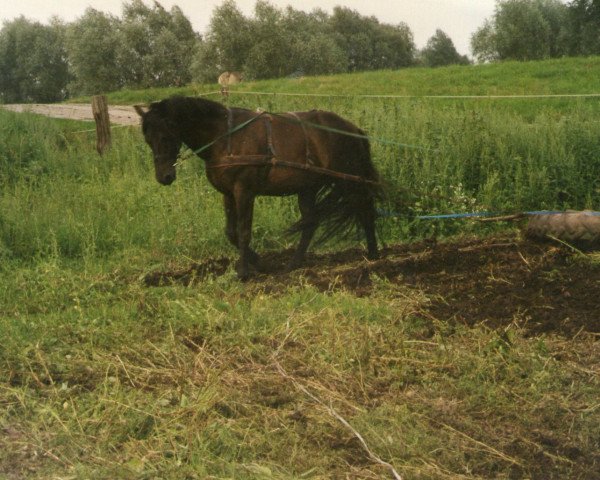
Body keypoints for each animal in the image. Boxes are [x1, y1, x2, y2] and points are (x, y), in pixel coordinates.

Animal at [136, 95, 380, 280]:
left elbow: (244, 231)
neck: (225, 137)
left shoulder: (244, 191)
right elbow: (231, 232)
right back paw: (293, 263)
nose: (164, 177)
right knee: (311, 223)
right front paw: (260, 263)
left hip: (349, 181)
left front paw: (243, 272)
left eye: (165, 135)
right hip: (307, 189)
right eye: (148, 139)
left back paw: (374, 257)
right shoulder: (228, 193)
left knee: (366, 211)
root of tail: (355, 130)